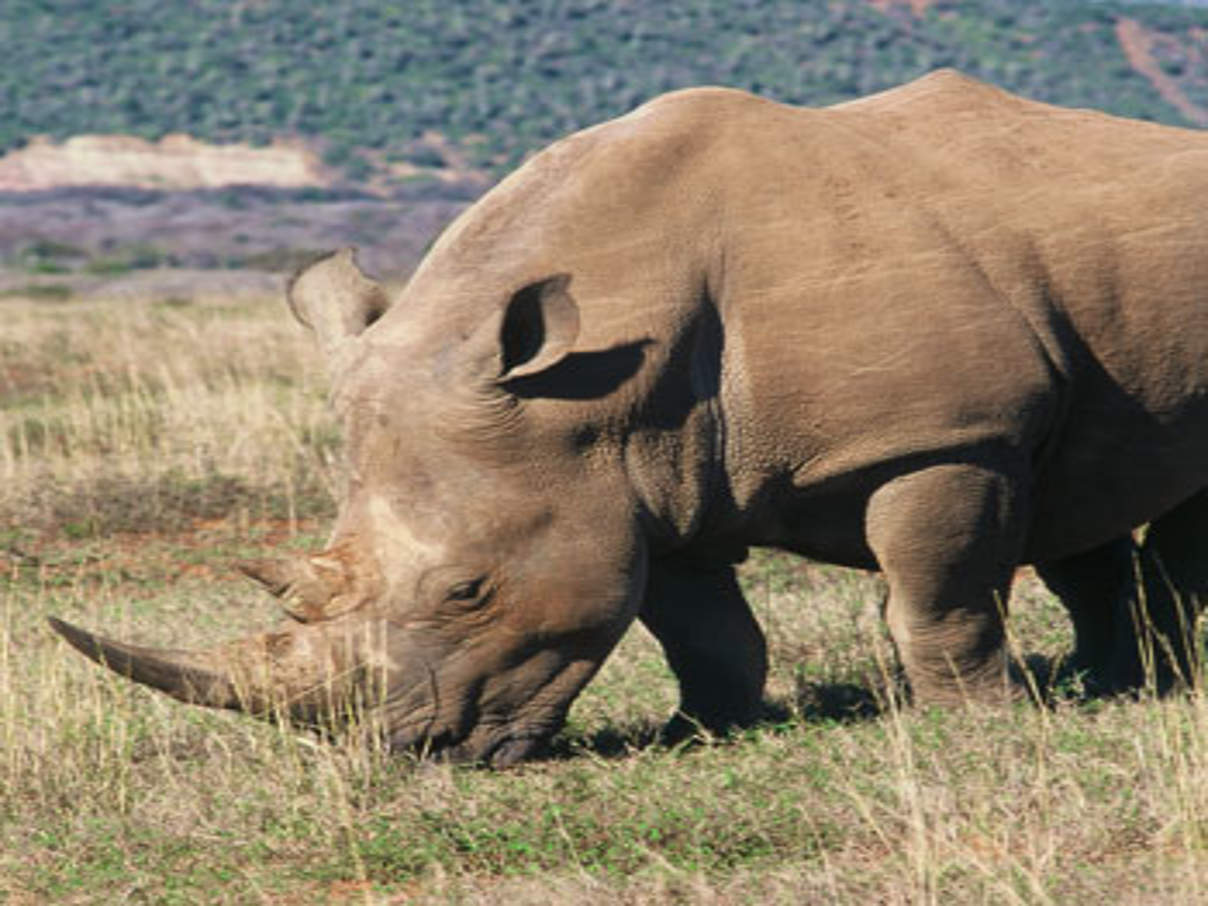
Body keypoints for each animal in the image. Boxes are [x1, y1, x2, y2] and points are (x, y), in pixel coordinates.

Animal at [51, 70, 1208, 768]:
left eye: (469, 591)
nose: (410, 752)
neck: (600, 379)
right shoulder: (638, 473)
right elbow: (698, 626)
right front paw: (701, 731)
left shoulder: (943, 434)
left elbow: (939, 593)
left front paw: (975, 730)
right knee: (1082, 499)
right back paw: (1112, 681)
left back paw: (1148, 683)